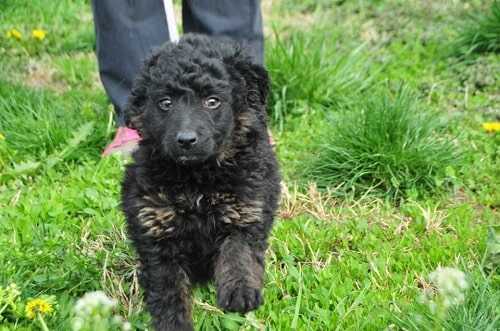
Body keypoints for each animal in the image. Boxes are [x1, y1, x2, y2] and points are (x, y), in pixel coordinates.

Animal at [119, 34, 280, 331]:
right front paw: (174, 325)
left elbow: (238, 253)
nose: (186, 140)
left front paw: (240, 292)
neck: (197, 181)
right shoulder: (157, 232)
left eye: (212, 101)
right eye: (166, 103)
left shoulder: (245, 211)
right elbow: (169, 292)